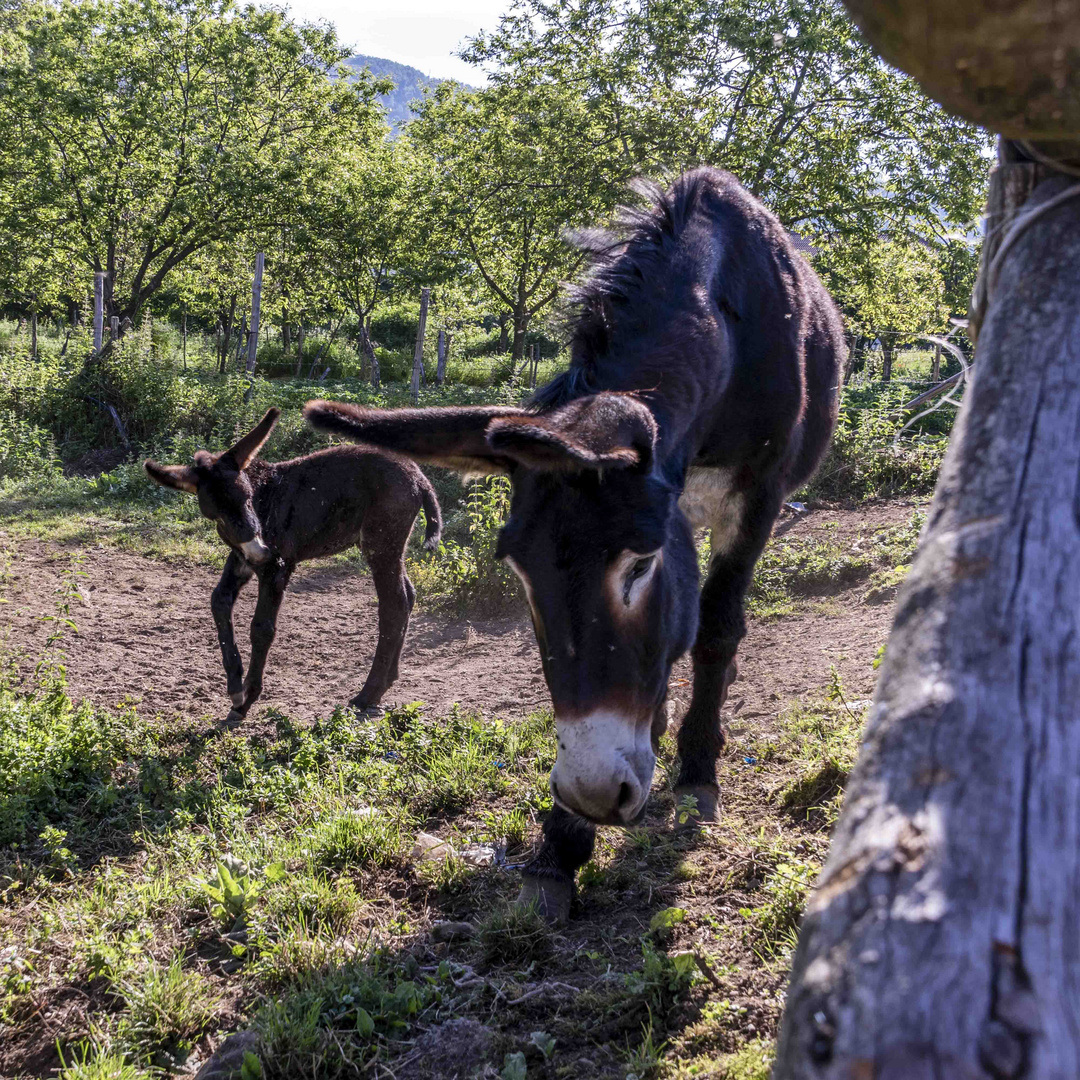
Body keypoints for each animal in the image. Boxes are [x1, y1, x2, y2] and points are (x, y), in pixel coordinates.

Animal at [143, 408, 438, 721]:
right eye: (217, 516)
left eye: (248, 500)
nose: (261, 550)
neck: (263, 494)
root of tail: (419, 477)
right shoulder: (241, 560)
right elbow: (219, 603)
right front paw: (235, 686)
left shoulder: (277, 568)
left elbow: (262, 627)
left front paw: (247, 699)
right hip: (390, 547)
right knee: (408, 596)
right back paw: (387, 681)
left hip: (381, 543)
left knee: (394, 605)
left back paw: (368, 694)